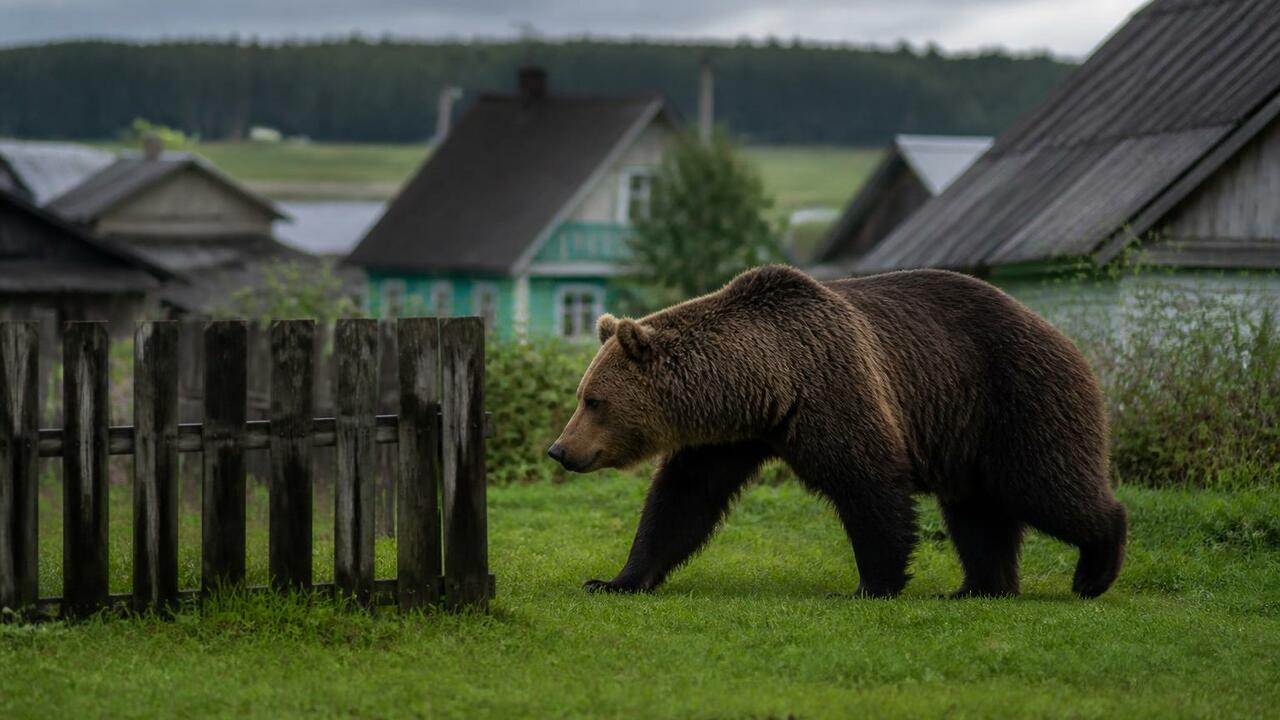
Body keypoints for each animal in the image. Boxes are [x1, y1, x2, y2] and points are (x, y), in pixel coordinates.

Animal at [547, 265, 1127, 599]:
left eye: (593, 400)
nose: (560, 449)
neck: (766, 381)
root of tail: (1067, 339)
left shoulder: (833, 388)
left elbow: (870, 485)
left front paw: (874, 584)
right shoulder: (731, 437)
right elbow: (682, 500)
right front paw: (614, 579)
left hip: (1015, 400)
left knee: (1045, 485)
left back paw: (1094, 570)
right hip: (967, 434)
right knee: (977, 512)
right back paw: (979, 588)